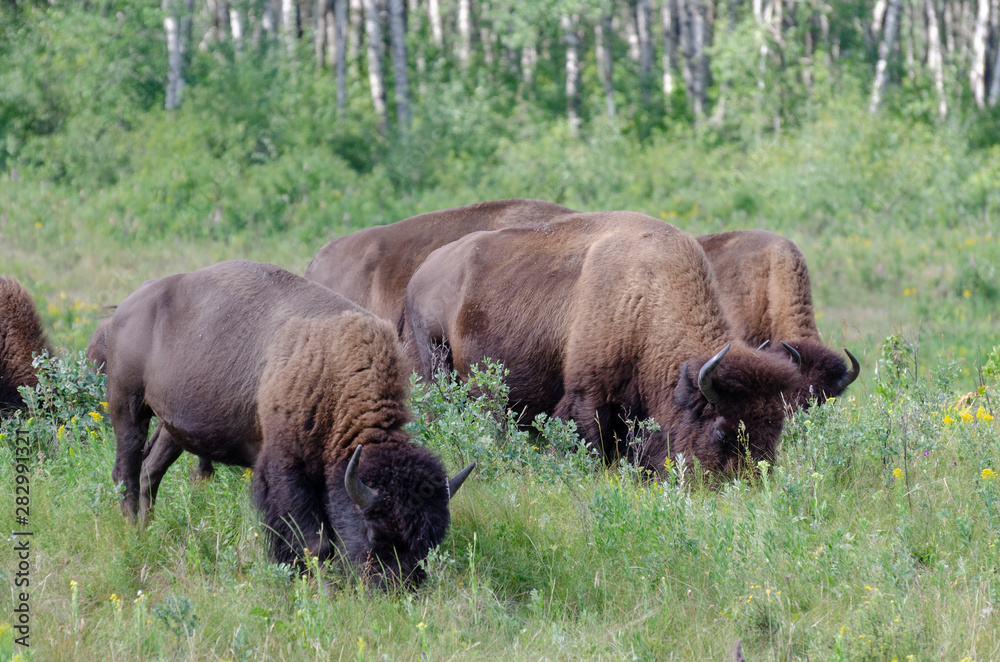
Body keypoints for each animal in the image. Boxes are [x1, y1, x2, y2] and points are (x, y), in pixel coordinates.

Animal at [103, 262, 474, 588]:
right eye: (373, 532)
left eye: (431, 540)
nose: (400, 588)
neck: (332, 372)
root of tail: (125, 309)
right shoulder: (286, 469)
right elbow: (314, 540)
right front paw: (318, 585)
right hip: (128, 406)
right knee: (126, 471)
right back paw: (132, 534)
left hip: (172, 426)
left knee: (151, 471)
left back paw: (146, 530)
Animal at [402, 213, 800, 478]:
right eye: (721, 431)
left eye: (776, 431)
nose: (745, 486)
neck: (644, 298)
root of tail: (418, 275)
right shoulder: (587, 397)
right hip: (436, 366)